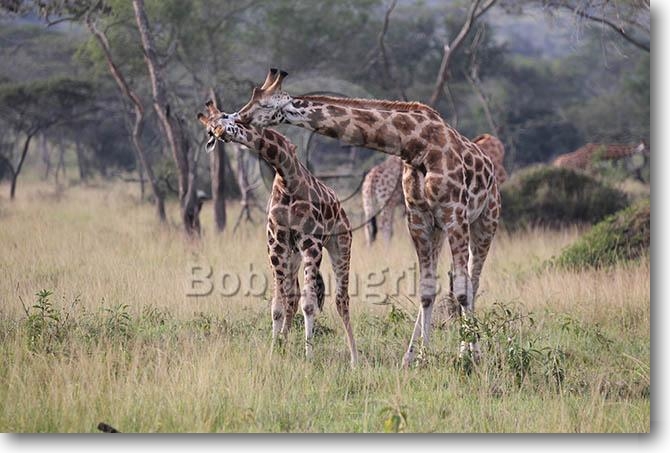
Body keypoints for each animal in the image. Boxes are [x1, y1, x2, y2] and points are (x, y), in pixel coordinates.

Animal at [197, 101, 358, 366]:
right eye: (209, 130)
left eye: (225, 116)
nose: (220, 132)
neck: (285, 174)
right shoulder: (277, 244)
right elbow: (278, 305)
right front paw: (275, 351)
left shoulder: (311, 242)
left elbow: (309, 304)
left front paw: (308, 355)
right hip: (292, 255)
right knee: (292, 297)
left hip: (341, 243)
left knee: (341, 299)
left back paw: (354, 358)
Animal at [361, 134, 507, 246]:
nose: (502, 176)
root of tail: (371, 179)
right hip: (387, 202)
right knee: (384, 226)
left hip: (369, 203)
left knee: (369, 228)